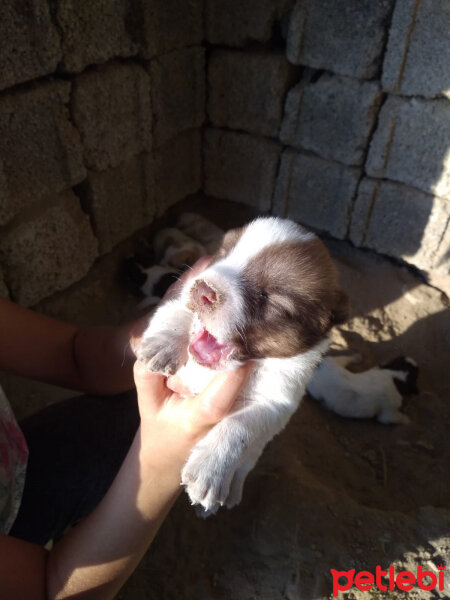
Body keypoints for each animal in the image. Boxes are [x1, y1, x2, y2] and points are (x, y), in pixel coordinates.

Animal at [137, 216, 348, 516]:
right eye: (223, 255)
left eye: (270, 298)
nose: (203, 290)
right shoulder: (183, 293)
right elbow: (179, 311)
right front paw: (162, 344)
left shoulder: (276, 401)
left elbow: (239, 427)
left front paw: (210, 471)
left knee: (244, 466)